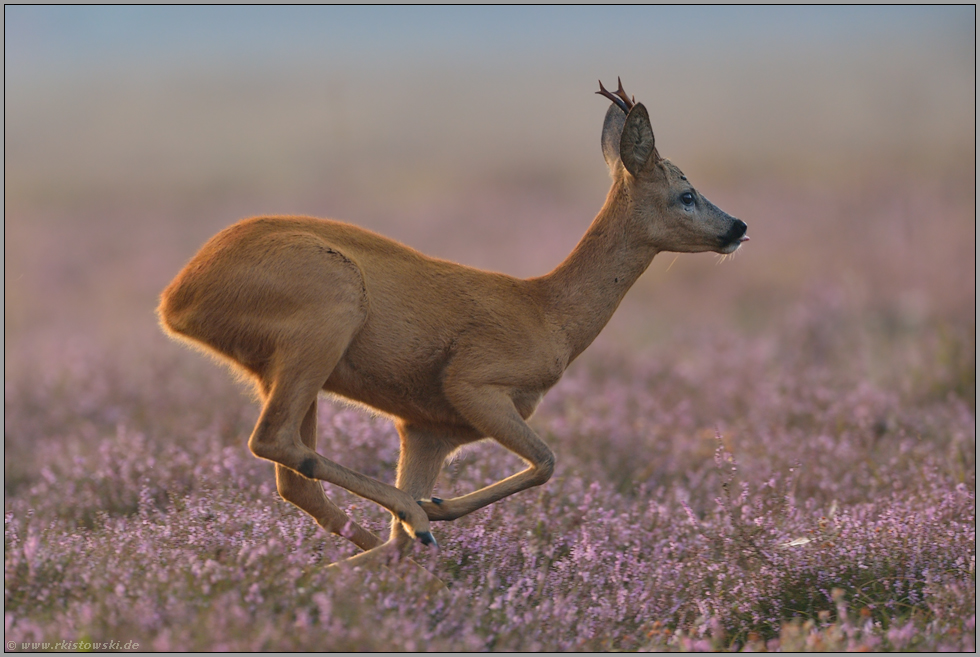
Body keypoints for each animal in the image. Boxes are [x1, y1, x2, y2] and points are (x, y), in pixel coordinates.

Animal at [157, 78, 748, 568]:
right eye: (686, 193)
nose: (738, 226)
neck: (550, 315)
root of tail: (176, 297)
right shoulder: (472, 382)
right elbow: (547, 462)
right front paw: (435, 509)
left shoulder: (426, 429)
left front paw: (419, 521)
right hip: (329, 310)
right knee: (275, 440)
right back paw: (415, 520)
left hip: (279, 364)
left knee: (295, 478)